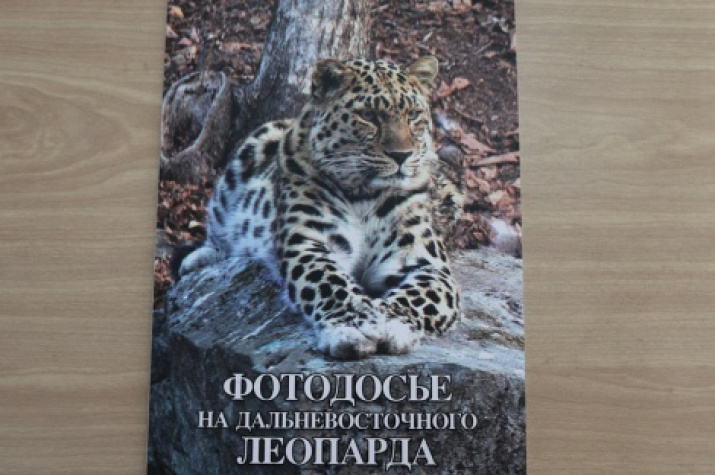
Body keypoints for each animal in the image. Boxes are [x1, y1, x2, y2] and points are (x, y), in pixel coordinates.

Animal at [178, 56, 464, 360]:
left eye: (413, 115)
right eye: (368, 116)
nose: (402, 155)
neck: (365, 194)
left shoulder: (427, 263)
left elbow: (419, 297)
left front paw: (392, 324)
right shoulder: (309, 244)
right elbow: (331, 284)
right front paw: (354, 326)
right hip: (254, 147)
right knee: (219, 222)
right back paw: (201, 258)